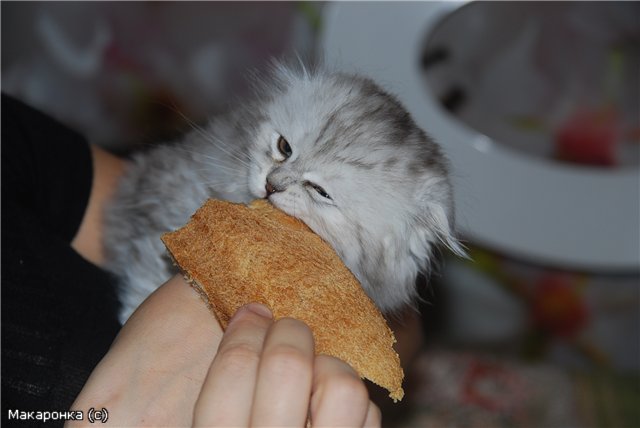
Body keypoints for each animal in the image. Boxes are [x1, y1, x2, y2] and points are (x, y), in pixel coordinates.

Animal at [105, 64, 464, 324]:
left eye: (320, 191)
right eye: (284, 148)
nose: (271, 185)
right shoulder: (163, 198)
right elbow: (148, 263)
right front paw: (134, 312)